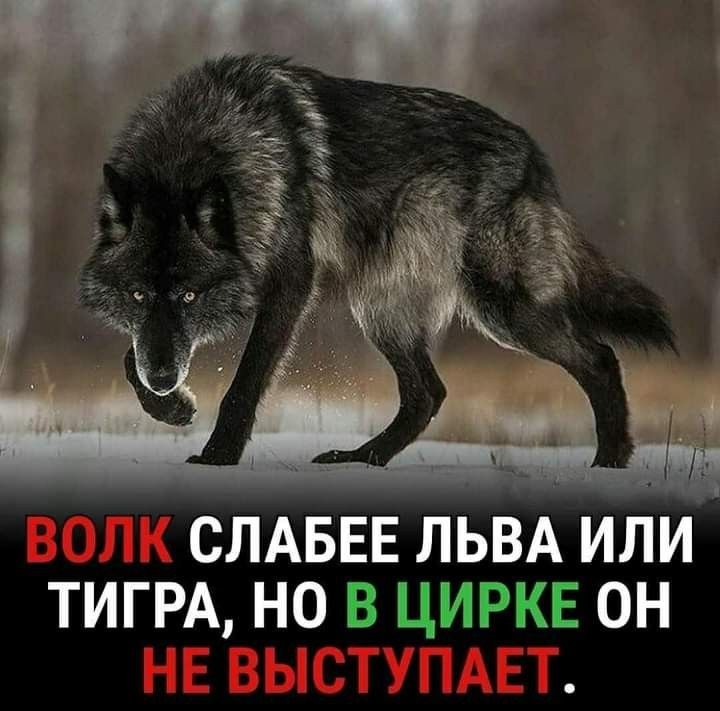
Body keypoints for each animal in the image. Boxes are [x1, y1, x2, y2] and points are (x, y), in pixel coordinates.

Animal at [79, 54, 675, 468]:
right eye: (137, 294)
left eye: (188, 295)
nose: (165, 379)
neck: (200, 146)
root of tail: (535, 155)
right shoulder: (159, 332)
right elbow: (130, 359)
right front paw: (171, 407)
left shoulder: (291, 285)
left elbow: (245, 382)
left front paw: (217, 458)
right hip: (383, 308)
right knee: (427, 394)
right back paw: (361, 459)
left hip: (499, 309)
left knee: (600, 358)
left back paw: (609, 463)